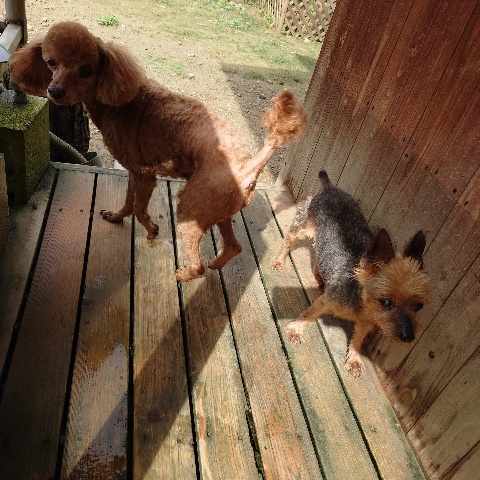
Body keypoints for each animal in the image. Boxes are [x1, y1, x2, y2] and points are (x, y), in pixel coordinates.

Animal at [9, 21, 307, 282]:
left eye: (86, 70)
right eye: (51, 62)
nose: (54, 91)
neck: (117, 98)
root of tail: (249, 166)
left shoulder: (145, 175)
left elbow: (140, 210)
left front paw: (152, 230)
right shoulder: (132, 172)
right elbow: (128, 203)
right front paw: (116, 217)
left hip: (192, 208)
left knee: (198, 265)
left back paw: (184, 275)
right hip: (219, 211)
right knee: (234, 247)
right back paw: (216, 263)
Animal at [271, 170, 431, 377]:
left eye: (418, 306)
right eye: (386, 302)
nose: (408, 337)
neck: (362, 303)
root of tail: (329, 186)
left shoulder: (366, 323)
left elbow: (359, 339)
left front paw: (354, 359)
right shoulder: (327, 301)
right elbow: (310, 314)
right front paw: (296, 329)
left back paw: (320, 277)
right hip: (303, 224)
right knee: (289, 241)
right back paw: (279, 260)